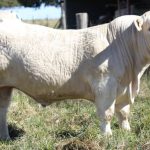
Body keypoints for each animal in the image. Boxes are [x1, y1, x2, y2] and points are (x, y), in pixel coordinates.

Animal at [0, 11, 149, 140]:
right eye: (149, 28)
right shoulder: (104, 85)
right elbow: (107, 114)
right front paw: (107, 137)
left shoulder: (123, 89)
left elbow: (124, 113)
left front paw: (127, 133)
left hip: (4, 87)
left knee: (3, 111)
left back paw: (5, 138)